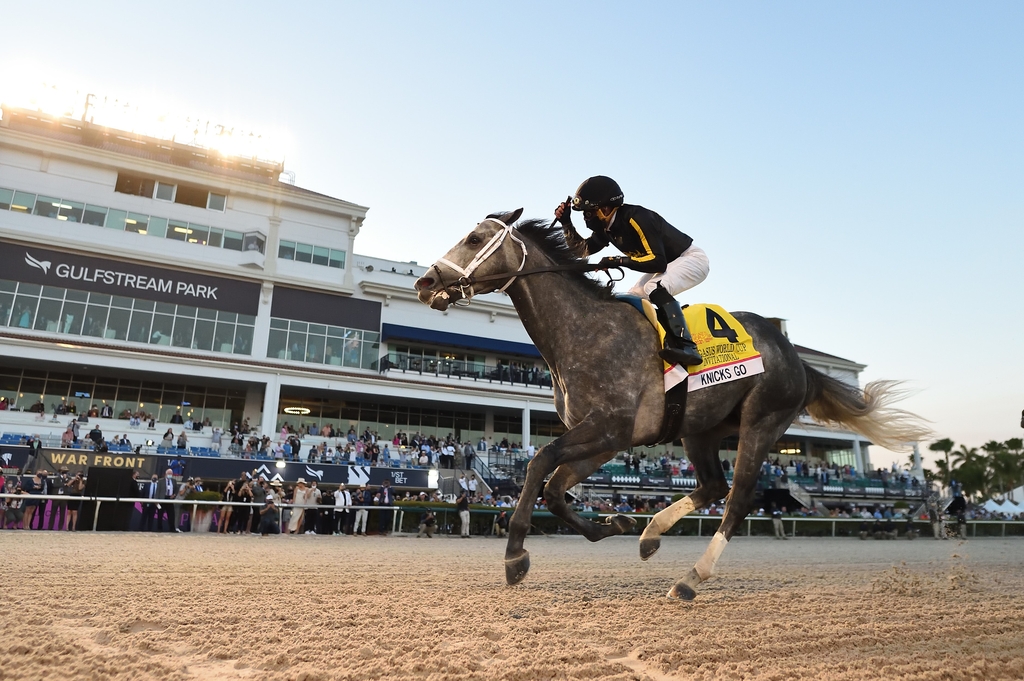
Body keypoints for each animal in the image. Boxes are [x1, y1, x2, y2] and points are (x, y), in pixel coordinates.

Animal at [411, 209, 933, 598]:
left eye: (474, 237)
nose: (425, 283)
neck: (582, 332)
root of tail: (798, 360)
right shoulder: (608, 437)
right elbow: (556, 489)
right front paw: (618, 521)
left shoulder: (608, 428)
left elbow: (539, 463)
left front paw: (515, 554)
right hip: (699, 429)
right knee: (712, 485)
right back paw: (649, 535)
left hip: (762, 420)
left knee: (738, 497)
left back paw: (691, 579)